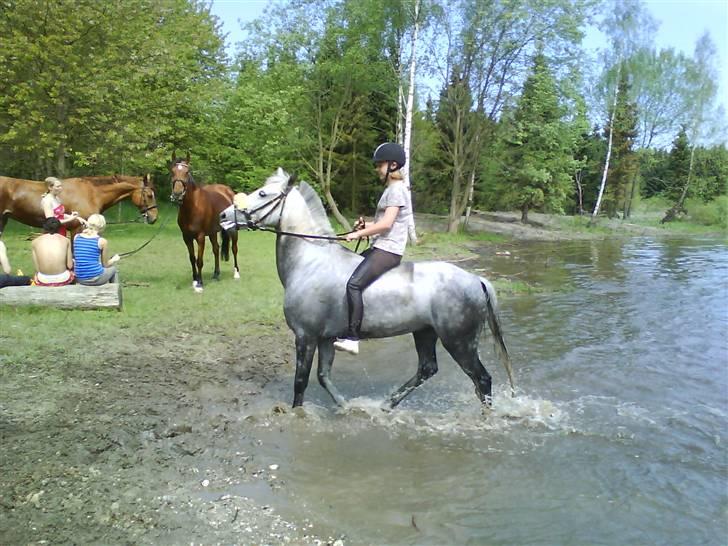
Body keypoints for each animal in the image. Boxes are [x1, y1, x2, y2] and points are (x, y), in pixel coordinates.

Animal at [169, 151, 240, 292]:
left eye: (187, 171)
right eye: (172, 171)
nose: (177, 194)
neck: (192, 207)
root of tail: (229, 191)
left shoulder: (200, 237)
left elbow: (199, 260)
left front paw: (200, 283)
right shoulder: (186, 237)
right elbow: (192, 259)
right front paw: (195, 280)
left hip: (232, 229)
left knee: (234, 248)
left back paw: (236, 273)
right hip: (212, 232)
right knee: (216, 249)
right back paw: (216, 274)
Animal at [219, 168, 516, 406]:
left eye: (262, 194)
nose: (223, 216)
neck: (310, 260)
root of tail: (476, 280)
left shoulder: (306, 336)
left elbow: (300, 383)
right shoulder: (325, 338)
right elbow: (323, 377)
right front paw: (347, 407)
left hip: (459, 342)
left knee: (482, 379)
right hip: (425, 333)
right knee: (428, 369)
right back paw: (386, 405)